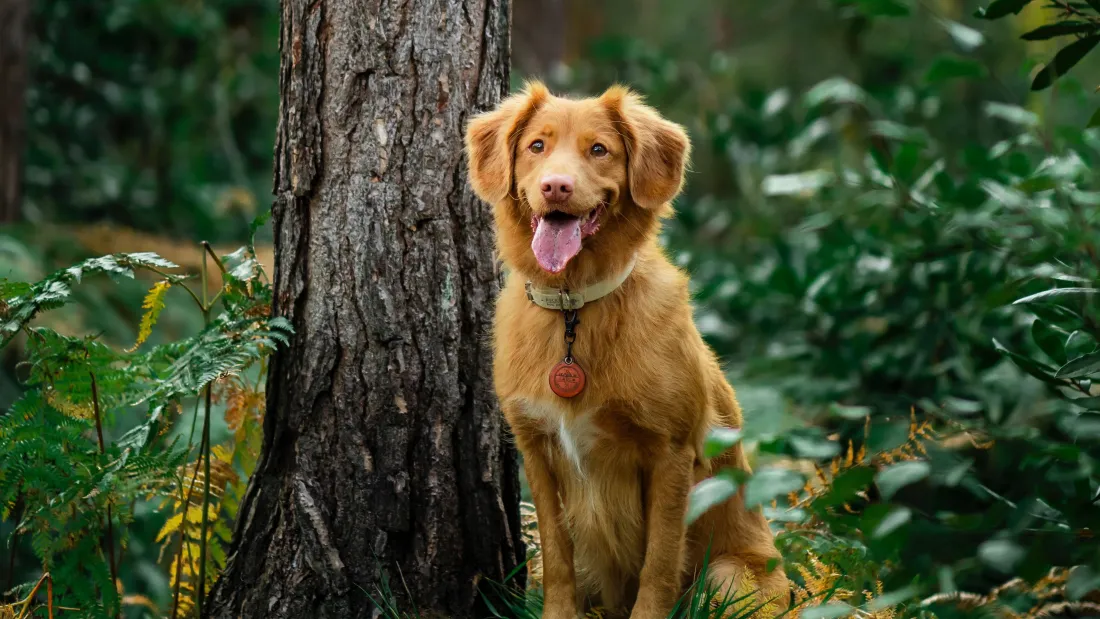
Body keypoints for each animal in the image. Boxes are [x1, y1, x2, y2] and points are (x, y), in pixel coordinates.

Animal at [464, 83, 792, 619]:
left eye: (599, 149)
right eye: (537, 146)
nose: (556, 187)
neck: (574, 309)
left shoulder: (671, 454)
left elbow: (658, 562)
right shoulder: (536, 449)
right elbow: (557, 556)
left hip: (727, 577)